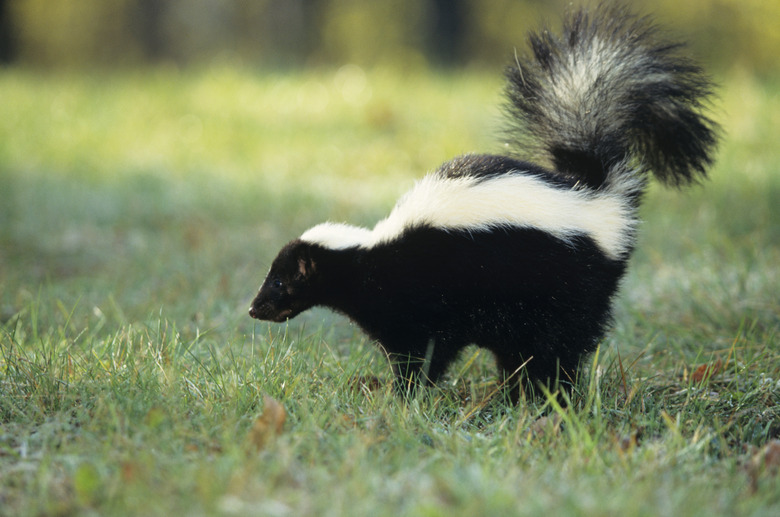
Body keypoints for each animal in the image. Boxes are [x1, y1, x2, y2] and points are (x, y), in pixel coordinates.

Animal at [248, 3, 720, 400]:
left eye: (281, 282)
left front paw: (406, 394)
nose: (254, 308)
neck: (370, 255)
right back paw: (516, 392)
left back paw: (552, 395)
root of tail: (594, 193)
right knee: (523, 352)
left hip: (563, 290)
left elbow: (424, 353)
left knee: (561, 347)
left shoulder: (420, 303)